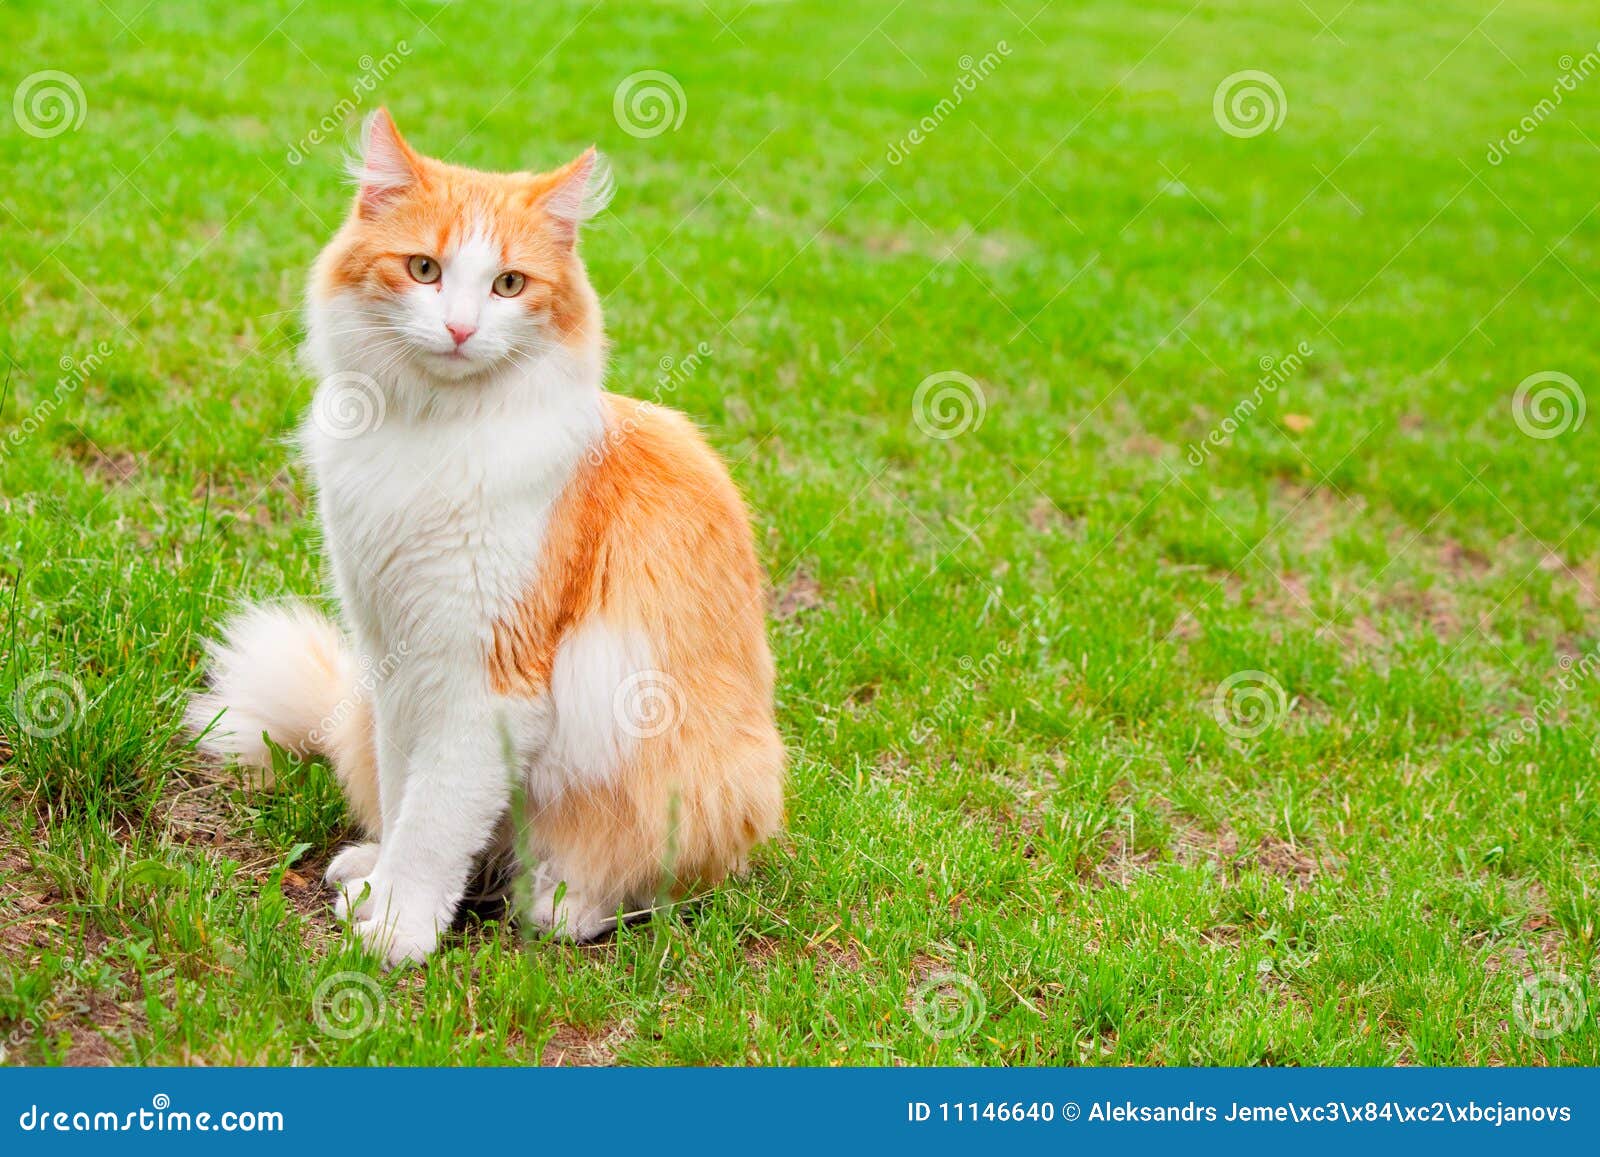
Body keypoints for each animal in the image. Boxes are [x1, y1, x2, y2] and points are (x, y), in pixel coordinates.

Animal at [190, 108, 790, 966]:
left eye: (509, 284)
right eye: (424, 269)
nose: (460, 327)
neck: (432, 431)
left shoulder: (487, 677)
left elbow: (436, 821)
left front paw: (399, 929)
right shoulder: (396, 656)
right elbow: (408, 794)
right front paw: (383, 890)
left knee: (644, 885)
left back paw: (560, 902)